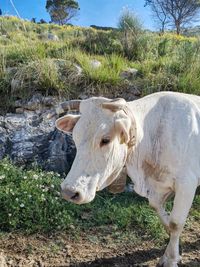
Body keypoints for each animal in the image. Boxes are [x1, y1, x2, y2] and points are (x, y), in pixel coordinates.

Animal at [55, 92, 200, 267]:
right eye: (75, 137)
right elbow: (164, 217)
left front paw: (171, 259)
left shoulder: (187, 184)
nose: (69, 192)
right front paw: (175, 252)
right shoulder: (157, 189)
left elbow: (175, 223)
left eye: (105, 139)